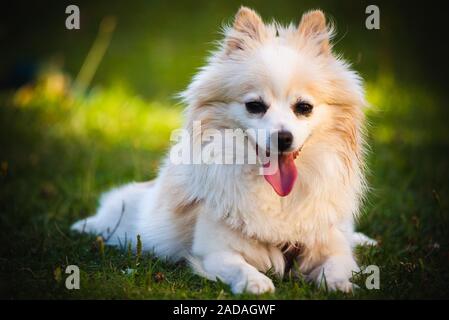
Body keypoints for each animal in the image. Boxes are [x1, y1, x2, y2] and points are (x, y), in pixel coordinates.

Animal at [72, 6, 374, 294]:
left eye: (304, 107)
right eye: (255, 106)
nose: (283, 138)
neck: (277, 196)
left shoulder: (331, 246)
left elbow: (337, 263)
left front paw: (340, 284)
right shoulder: (216, 252)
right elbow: (239, 266)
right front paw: (256, 282)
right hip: (122, 216)